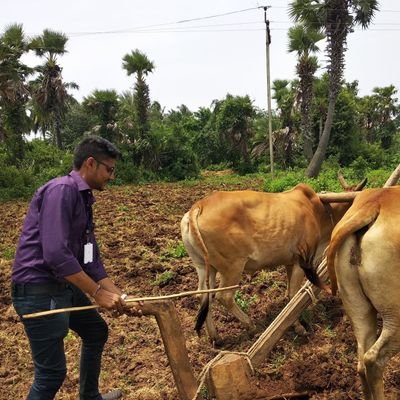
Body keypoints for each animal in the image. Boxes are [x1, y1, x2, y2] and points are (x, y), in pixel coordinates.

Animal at [181, 180, 366, 342]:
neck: (318, 211)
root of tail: (199, 205)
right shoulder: (300, 261)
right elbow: (293, 295)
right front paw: (299, 327)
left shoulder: (289, 262)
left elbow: (290, 294)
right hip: (232, 266)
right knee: (224, 296)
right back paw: (251, 325)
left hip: (205, 267)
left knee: (204, 295)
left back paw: (215, 337)